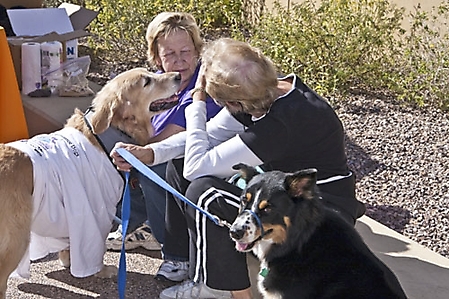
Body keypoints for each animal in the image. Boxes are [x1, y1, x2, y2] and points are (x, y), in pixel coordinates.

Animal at [0, 68, 180, 299]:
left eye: (151, 72)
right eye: (147, 81)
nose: (178, 76)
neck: (105, 135)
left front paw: (67, 259)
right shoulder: (95, 210)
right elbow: (94, 248)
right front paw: (100, 271)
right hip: (16, 238)